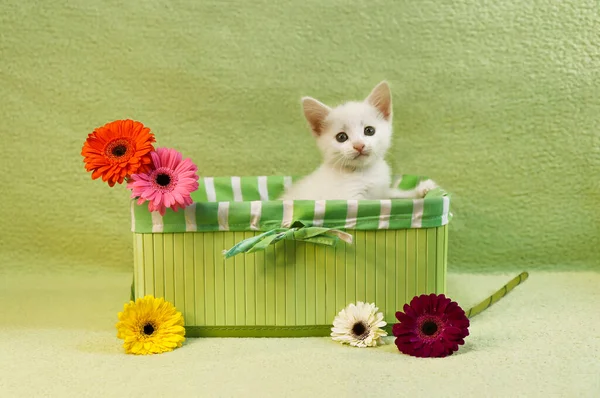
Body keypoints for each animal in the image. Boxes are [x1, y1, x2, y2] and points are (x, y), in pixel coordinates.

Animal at [282, 81, 436, 201]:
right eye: (341, 137)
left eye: (369, 130)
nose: (359, 145)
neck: (363, 172)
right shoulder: (348, 199)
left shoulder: (381, 192)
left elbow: (393, 194)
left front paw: (422, 189)